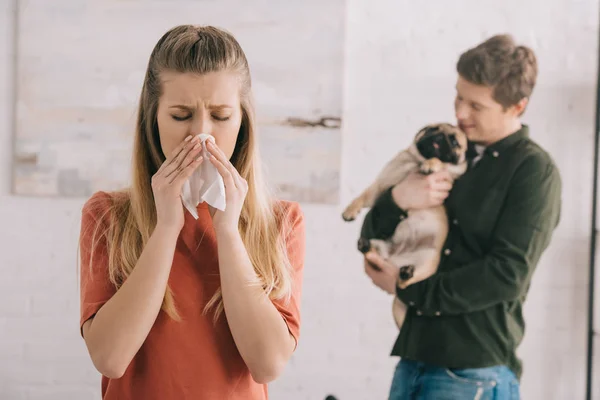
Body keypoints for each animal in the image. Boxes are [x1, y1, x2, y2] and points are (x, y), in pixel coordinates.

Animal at [342, 122, 468, 328]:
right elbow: (362, 196)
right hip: (382, 248)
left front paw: (431, 164)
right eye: (432, 129)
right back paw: (366, 246)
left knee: (404, 282)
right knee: (373, 254)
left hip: (426, 261)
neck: (414, 161)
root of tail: (395, 261)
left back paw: (406, 274)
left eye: (455, 141)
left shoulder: (449, 176)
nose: (439, 137)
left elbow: (441, 163)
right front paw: (349, 211)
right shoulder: (379, 187)